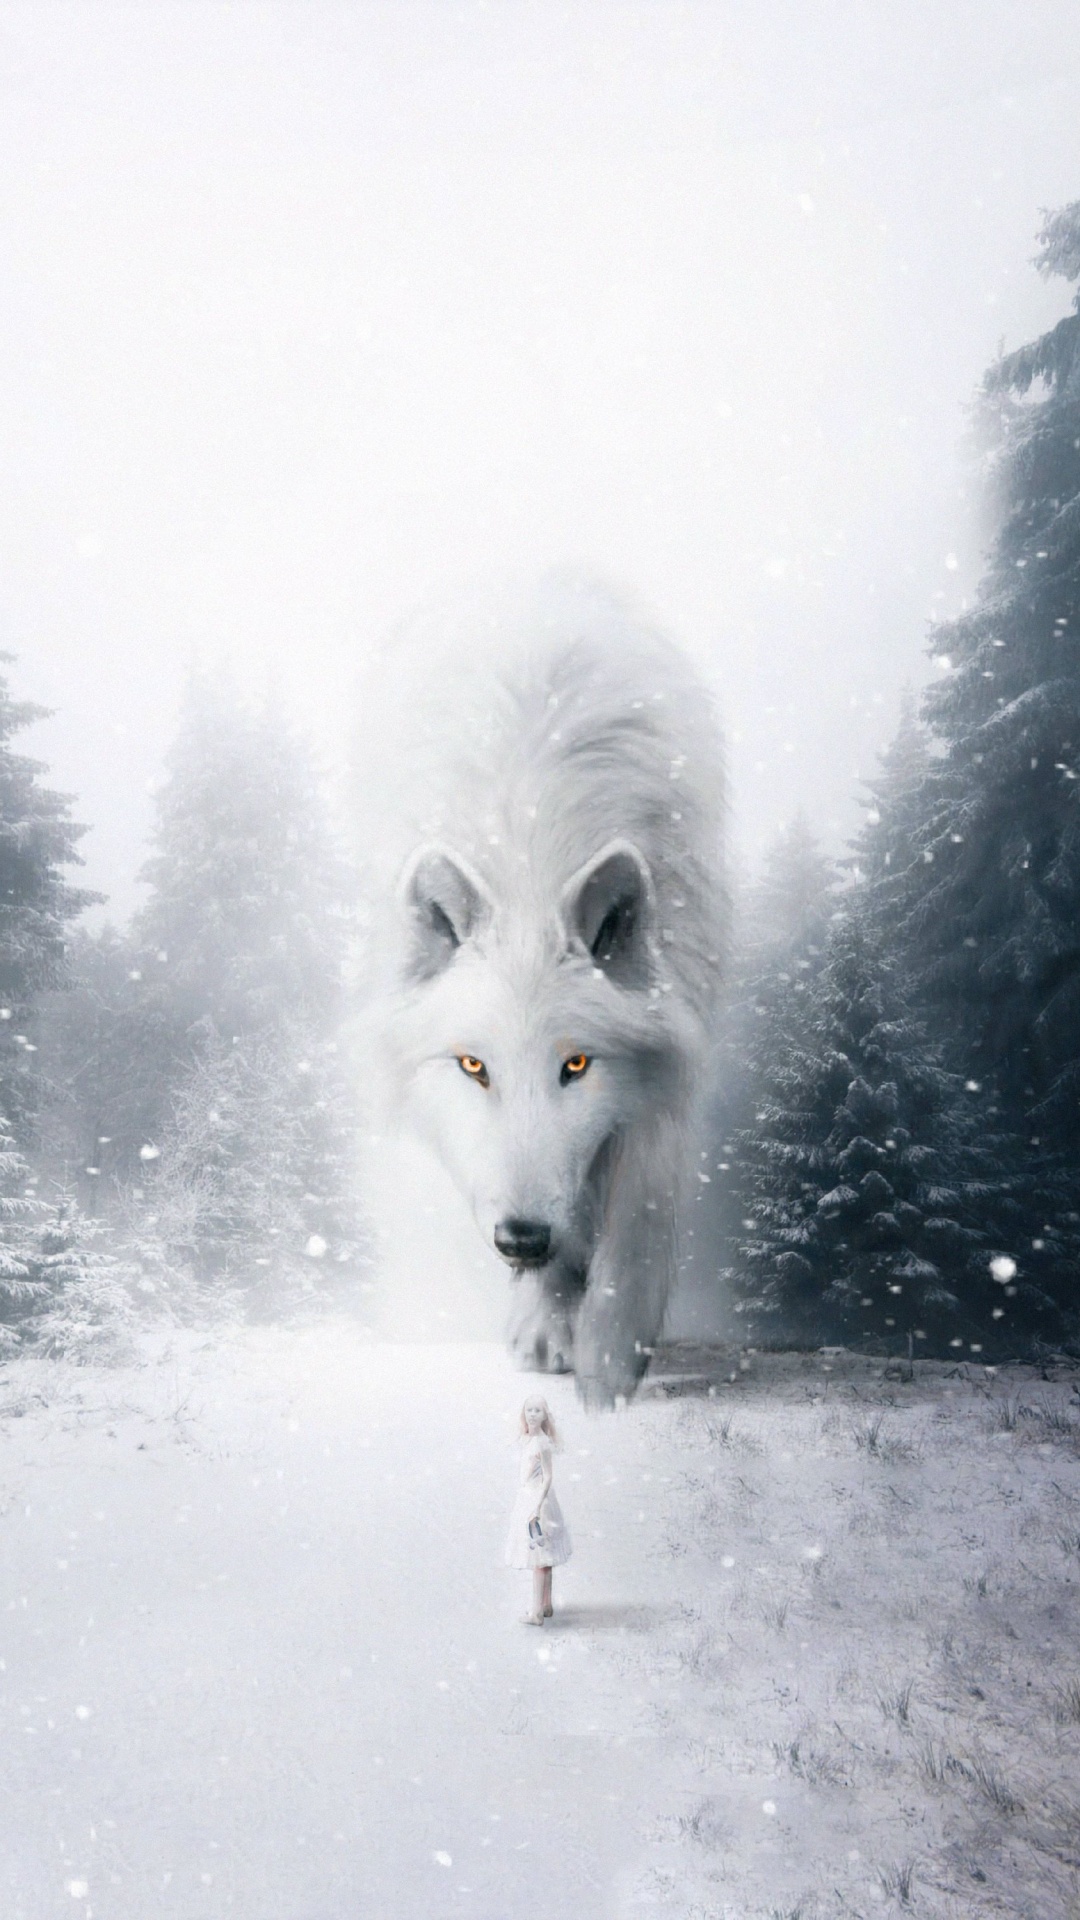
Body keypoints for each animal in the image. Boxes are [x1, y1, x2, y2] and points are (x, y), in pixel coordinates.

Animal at [355, 574, 725, 1405]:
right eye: (473, 1067)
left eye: (576, 1065)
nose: (520, 1240)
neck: (530, 850)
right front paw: (551, 1322)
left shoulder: (668, 1056)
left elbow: (639, 1217)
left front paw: (611, 1364)